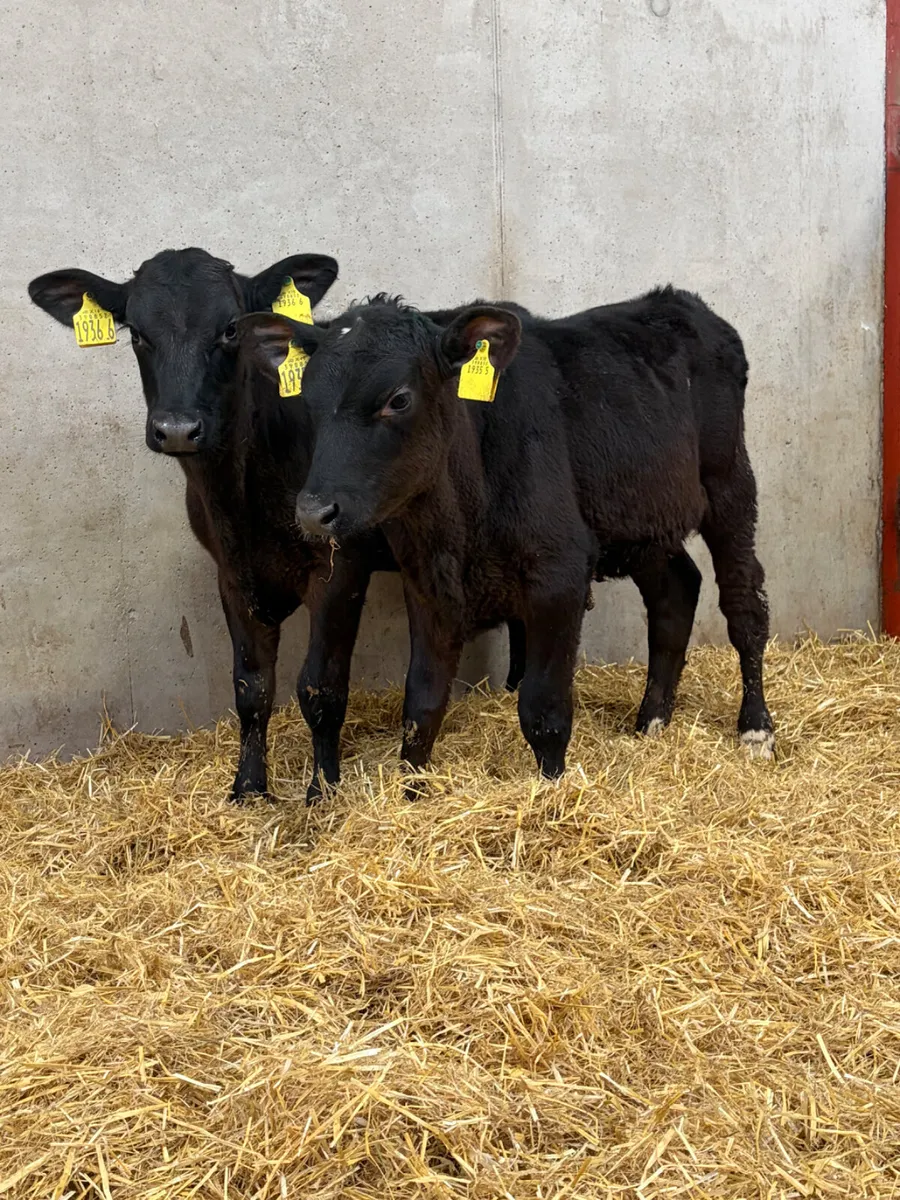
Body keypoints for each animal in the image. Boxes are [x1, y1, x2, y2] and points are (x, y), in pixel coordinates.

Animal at [28, 251, 527, 803]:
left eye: (230, 329)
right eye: (137, 333)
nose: (177, 429)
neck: (241, 497)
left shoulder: (340, 568)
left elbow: (320, 686)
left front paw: (323, 792)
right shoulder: (230, 573)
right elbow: (251, 685)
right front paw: (248, 788)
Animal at [237, 287, 775, 783]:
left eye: (398, 399)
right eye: (308, 402)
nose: (313, 512)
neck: (458, 523)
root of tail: (682, 302)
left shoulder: (561, 575)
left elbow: (544, 710)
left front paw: (552, 792)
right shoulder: (427, 585)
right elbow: (422, 705)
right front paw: (413, 792)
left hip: (730, 486)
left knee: (744, 605)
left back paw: (756, 729)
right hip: (643, 519)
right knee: (675, 592)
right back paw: (653, 721)